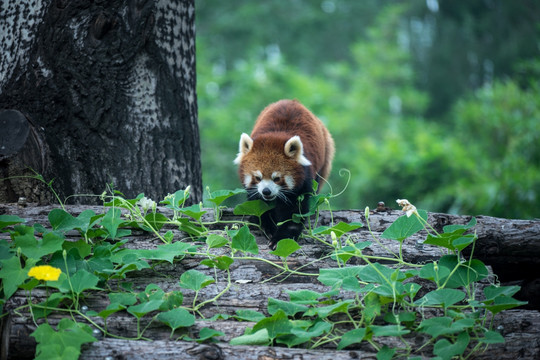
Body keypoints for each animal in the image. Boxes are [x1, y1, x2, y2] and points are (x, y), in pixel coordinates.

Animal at [233, 100, 334, 249]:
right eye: (258, 177)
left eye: (277, 178)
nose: (266, 191)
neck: (276, 135)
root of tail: (292, 101)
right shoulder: (255, 192)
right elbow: (259, 206)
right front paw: (268, 227)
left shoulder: (304, 181)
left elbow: (294, 213)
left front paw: (281, 238)